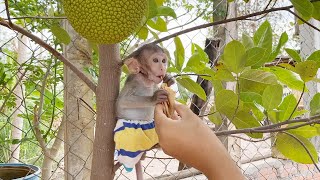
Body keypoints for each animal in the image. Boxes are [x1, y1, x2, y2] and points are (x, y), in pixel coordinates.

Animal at [115, 43, 174, 179]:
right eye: (155, 60)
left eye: (163, 61)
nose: (162, 68)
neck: (146, 79)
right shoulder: (134, 80)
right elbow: (121, 103)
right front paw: (154, 98)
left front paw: (169, 79)